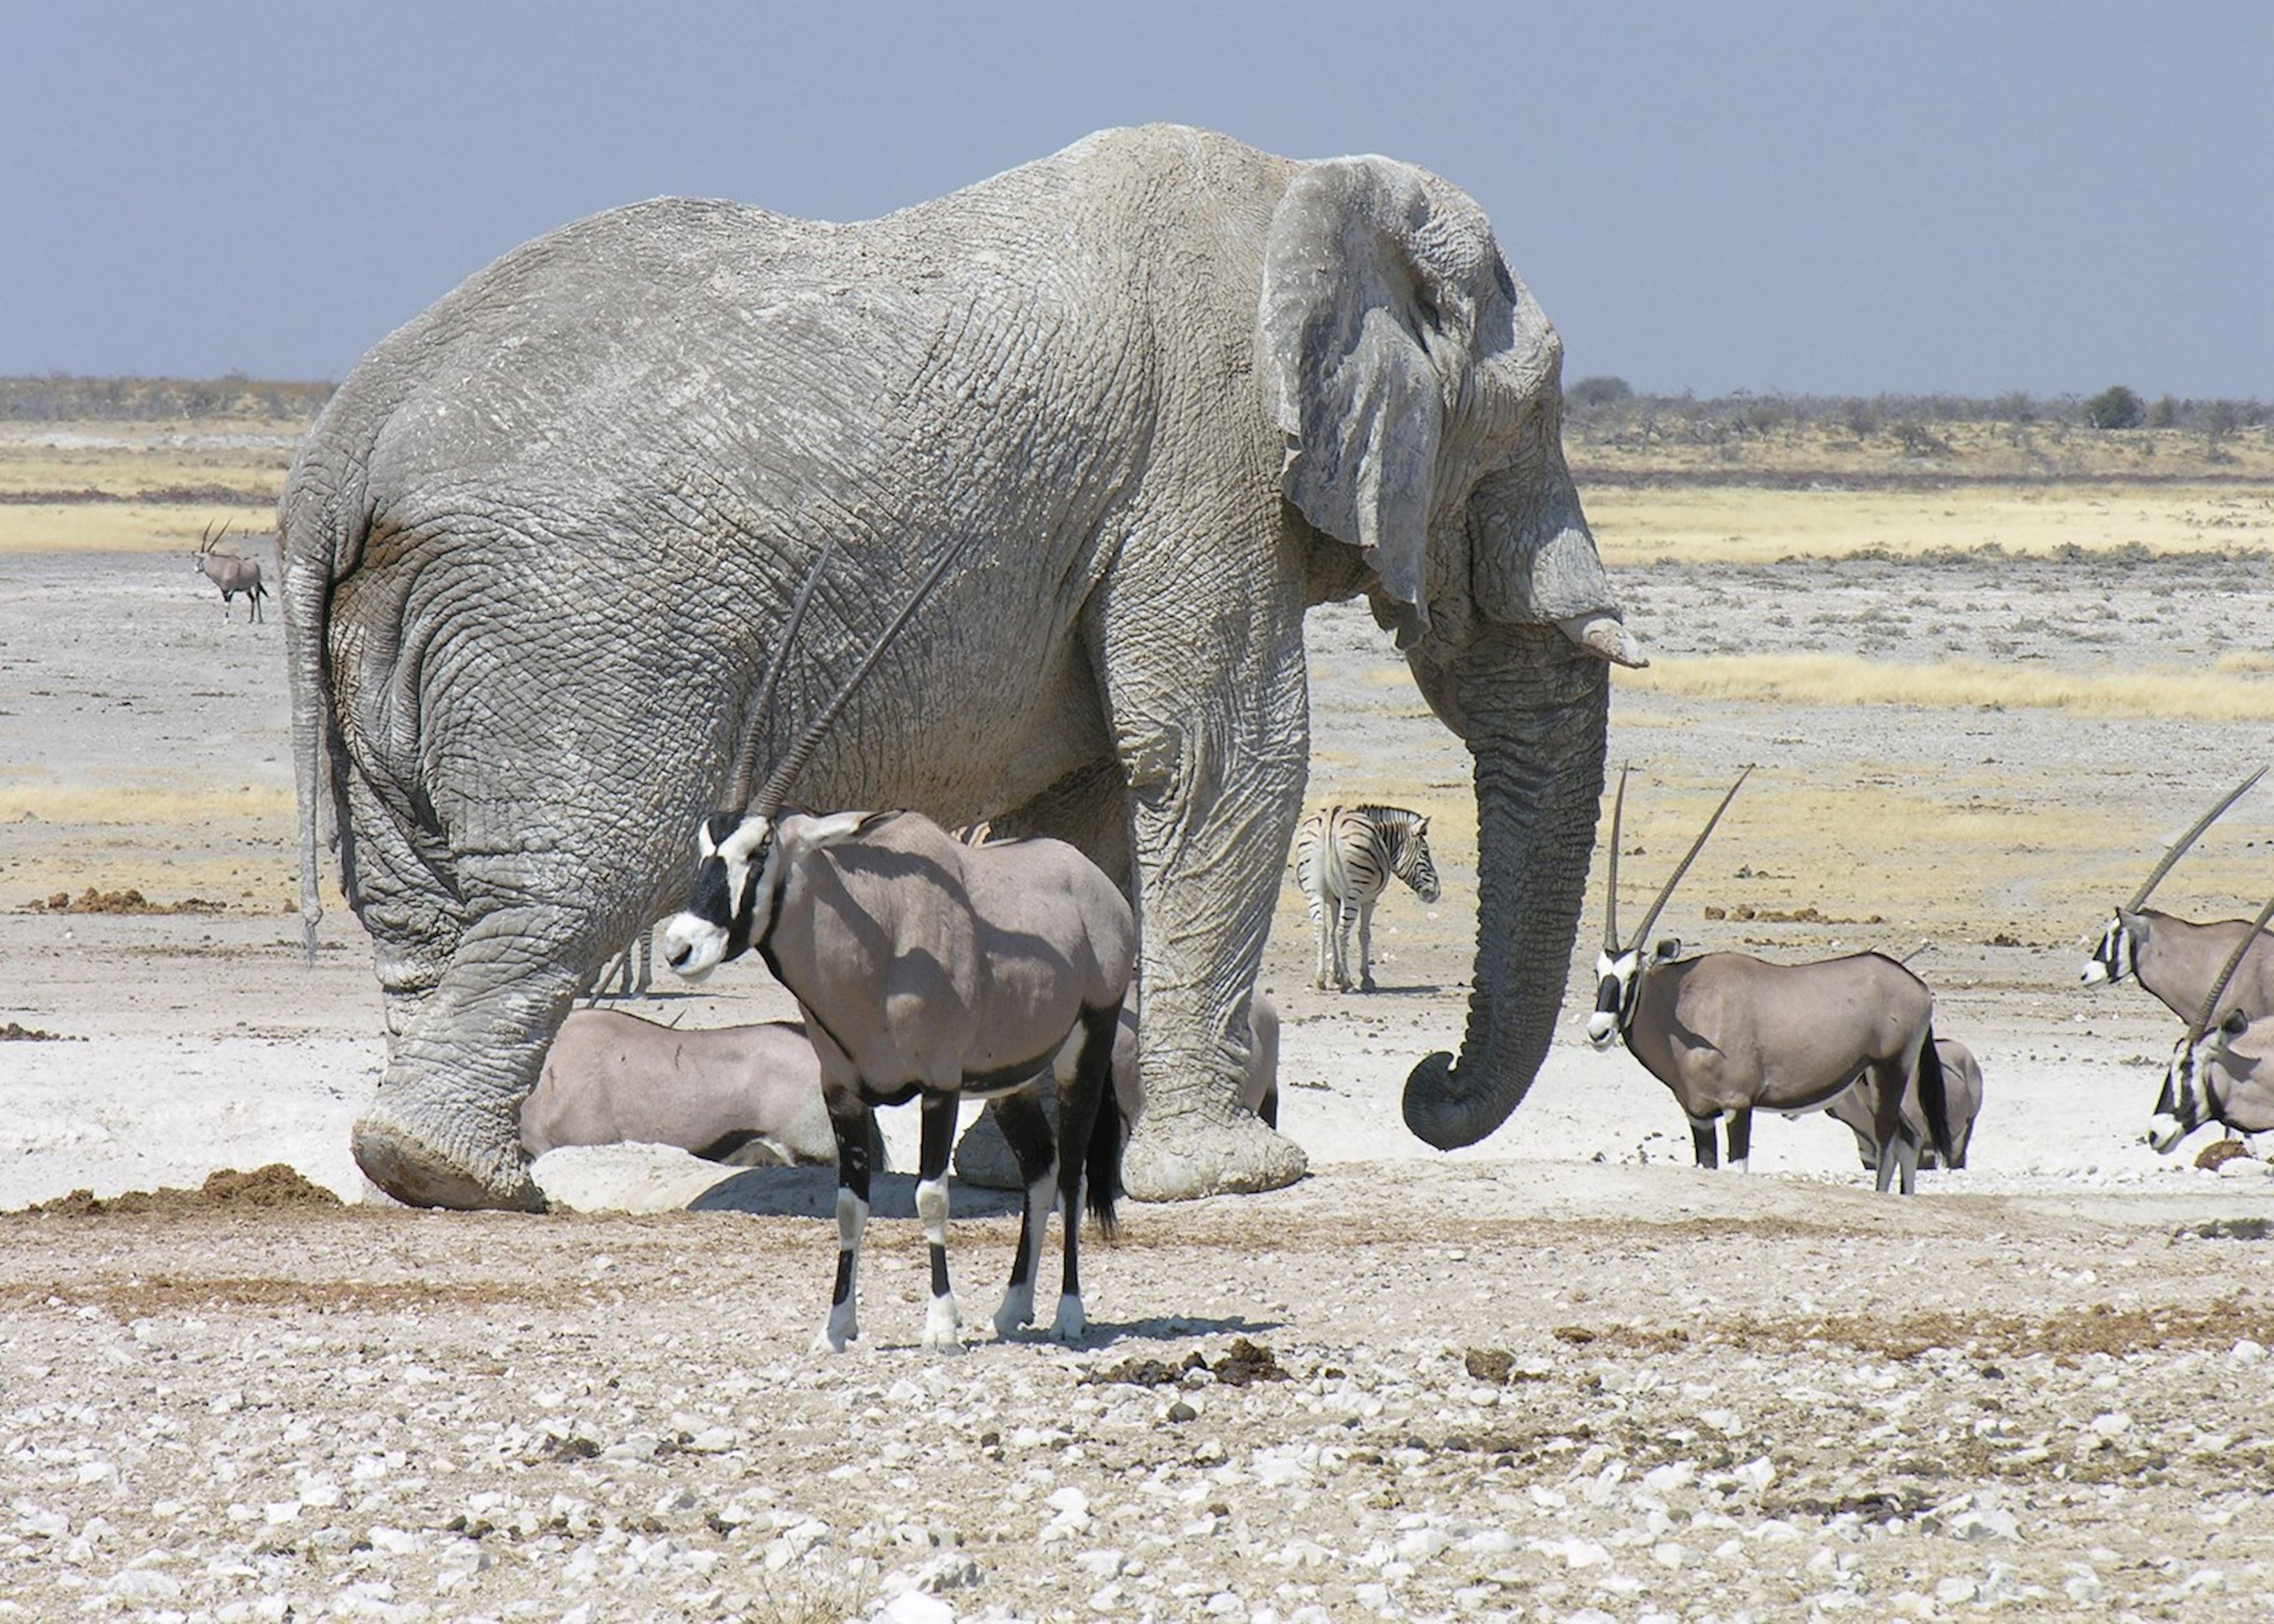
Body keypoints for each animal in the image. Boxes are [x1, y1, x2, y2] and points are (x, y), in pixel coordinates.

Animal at [1300, 796, 1437, 987]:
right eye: (1425, 852)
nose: (1436, 892)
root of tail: (1331, 821)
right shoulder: (1370, 899)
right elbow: (1364, 934)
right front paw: (1365, 977)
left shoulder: (1335, 900)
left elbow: (1332, 930)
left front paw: (1335, 973)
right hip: (1352, 893)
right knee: (1343, 930)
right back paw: (1347, 981)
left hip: (1314, 891)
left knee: (1321, 928)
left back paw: (1320, 979)